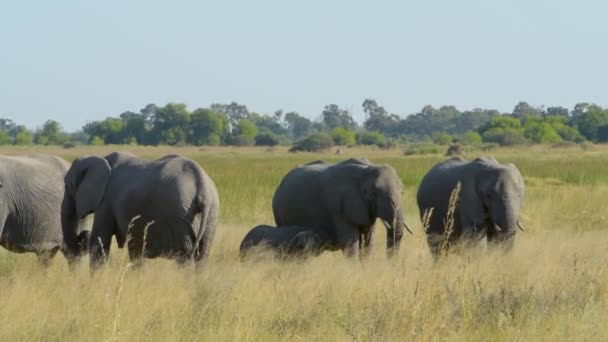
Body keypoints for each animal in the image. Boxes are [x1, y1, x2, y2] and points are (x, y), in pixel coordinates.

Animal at [59, 152, 220, 270]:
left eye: (68, 185)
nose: (81, 235)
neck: (98, 158)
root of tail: (202, 183)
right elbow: (135, 250)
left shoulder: (106, 201)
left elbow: (99, 241)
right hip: (210, 214)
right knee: (201, 257)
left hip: (181, 215)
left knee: (185, 257)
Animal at [274, 158, 416, 260]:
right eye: (372, 194)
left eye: (402, 192)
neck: (366, 170)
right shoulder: (340, 209)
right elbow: (350, 243)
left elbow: (368, 241)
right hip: (279, 212)